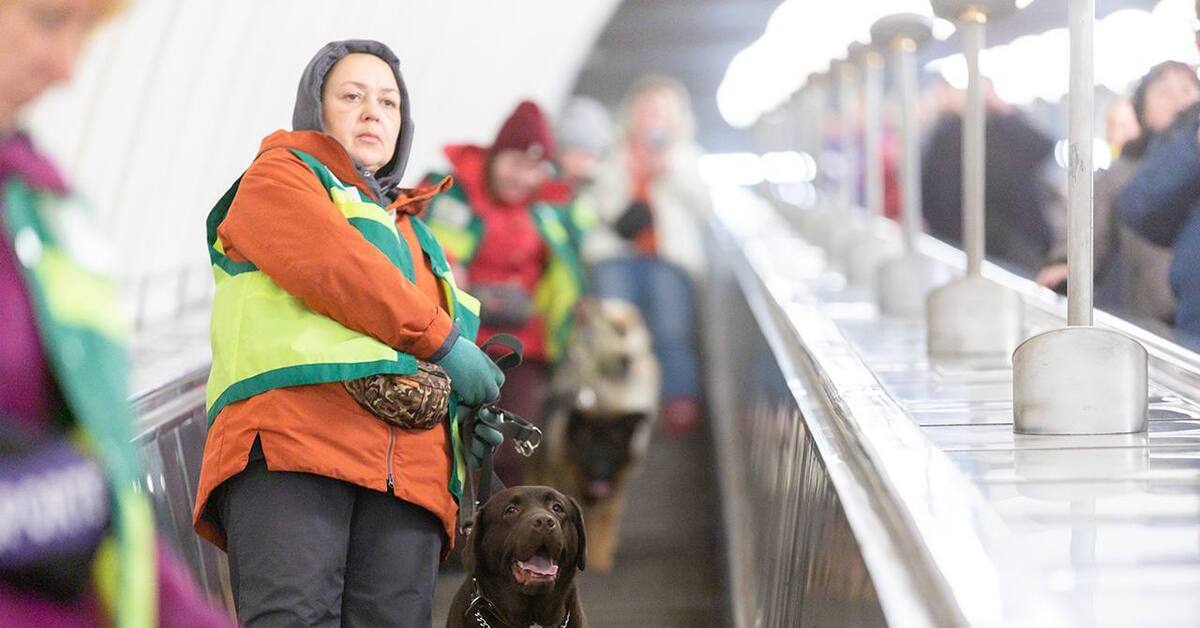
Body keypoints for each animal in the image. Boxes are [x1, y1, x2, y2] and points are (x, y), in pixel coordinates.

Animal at [537, 300, 662, 573]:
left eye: (623, 330)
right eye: (611, 329)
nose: (627, 359)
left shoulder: (618, 473)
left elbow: (605, 518)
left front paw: (600, 558)